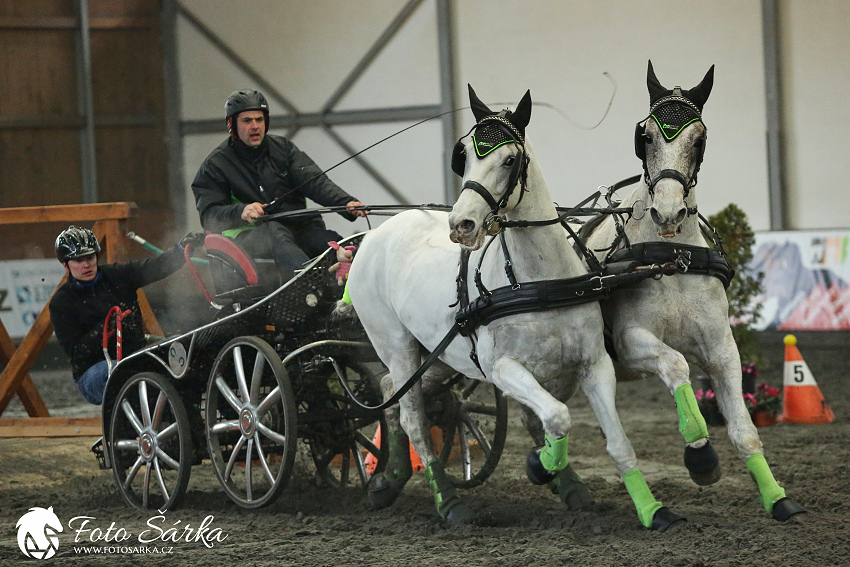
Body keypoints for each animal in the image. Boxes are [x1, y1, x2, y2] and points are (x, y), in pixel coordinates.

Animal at [342, 86, 680, 532]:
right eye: (465, 155)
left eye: (509, 160)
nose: (461, 224)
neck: (537, 281)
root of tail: (373, 235)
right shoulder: (503, 369)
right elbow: (557, 417)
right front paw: (542, 466)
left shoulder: (593, 365)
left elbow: (615, 442)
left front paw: (652, 510)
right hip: (396, 347)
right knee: (413, 417)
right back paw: (449, 502)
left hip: (438, 356)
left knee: (390, 394)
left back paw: (389, 481)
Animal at [584, 62, 800, 524]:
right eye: (646, 135)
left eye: (698, 140)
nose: (668, 212)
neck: (672, 256)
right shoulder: (631, 343)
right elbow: (678, 365)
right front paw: (701, 457)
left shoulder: (722, 347)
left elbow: (744, 430)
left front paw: (778, 499)